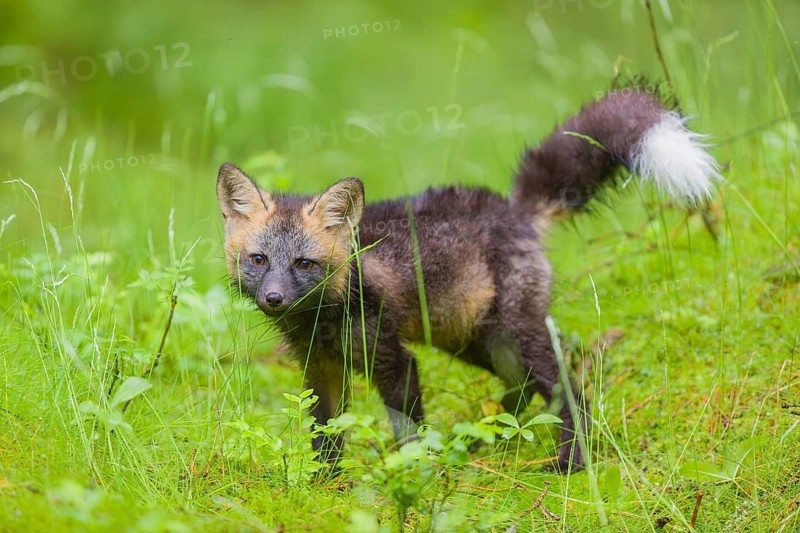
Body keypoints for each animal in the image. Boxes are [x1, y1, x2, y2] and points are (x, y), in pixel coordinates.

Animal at [216, 86, 720, 472]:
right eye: (259, 260)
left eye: (305, 264)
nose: (274, 298)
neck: (325, 319)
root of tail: (512, 208)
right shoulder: (319, 369)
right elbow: (325, 436)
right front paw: (325, 486)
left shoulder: (395, 362)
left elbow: (408, 432)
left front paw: (414, 479)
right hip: (473, 340)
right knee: (524, 389)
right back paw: (486, 438)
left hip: (514, 336)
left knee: (572, 390)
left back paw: (570, 463)